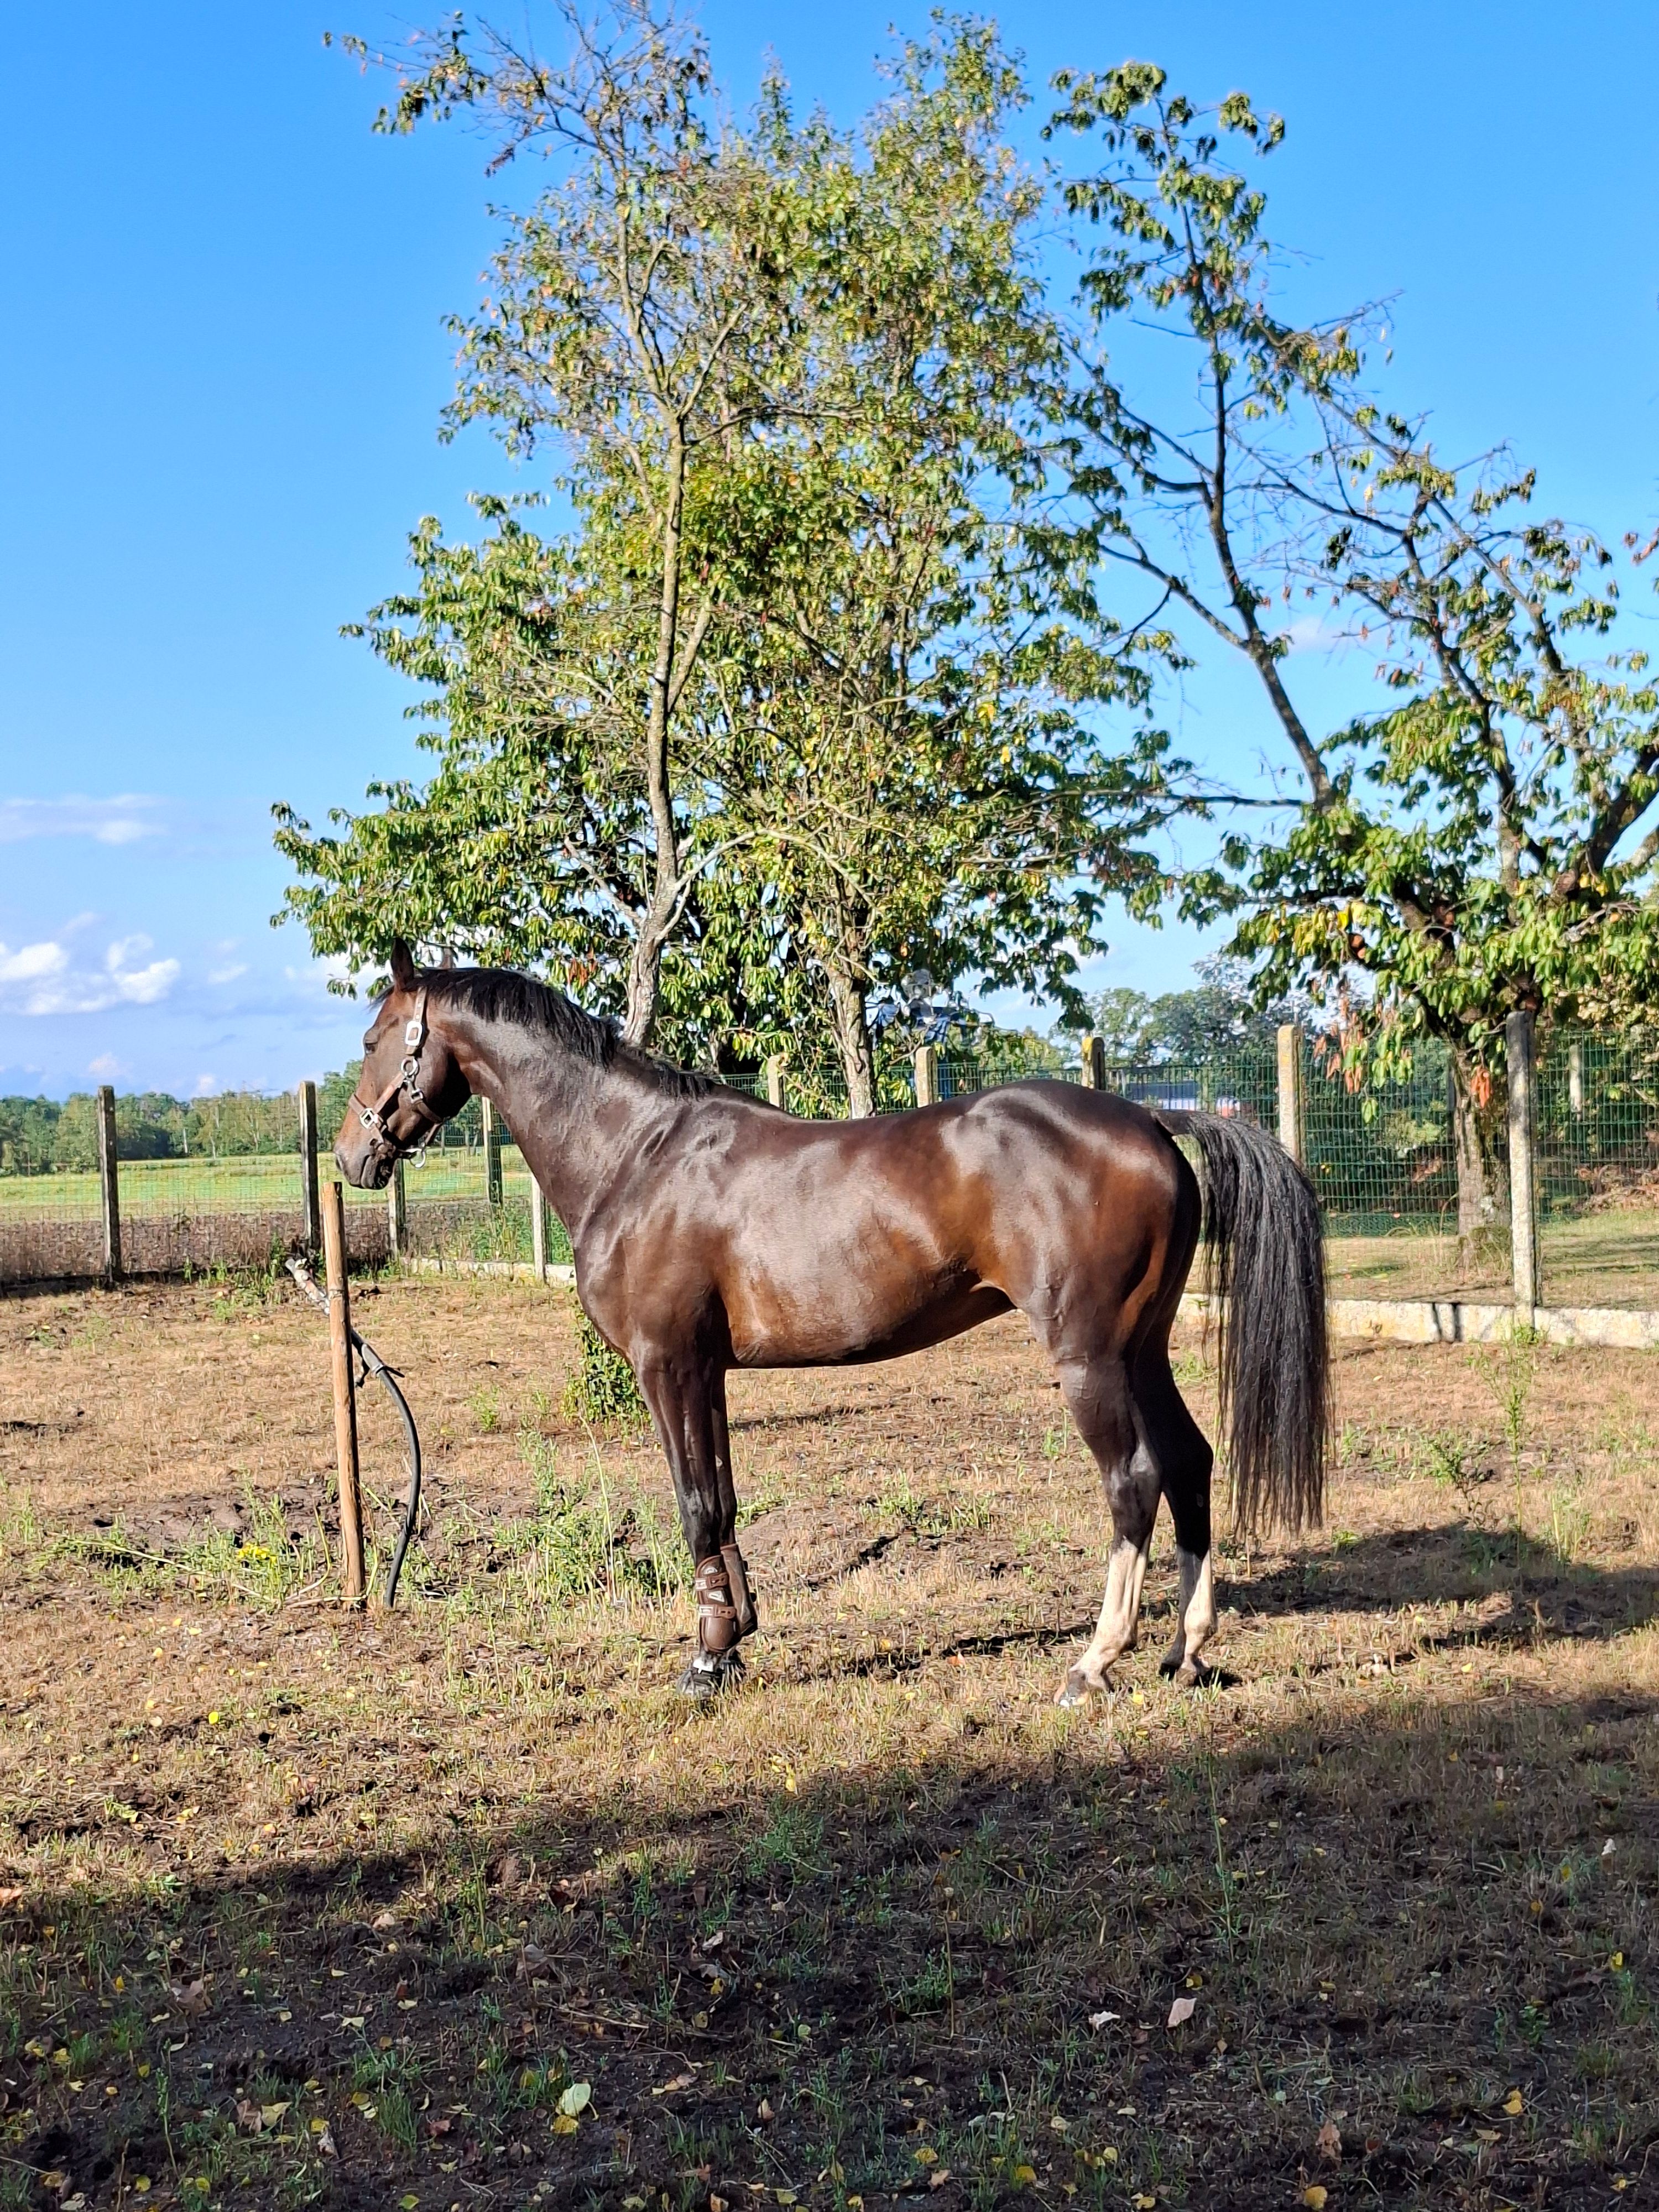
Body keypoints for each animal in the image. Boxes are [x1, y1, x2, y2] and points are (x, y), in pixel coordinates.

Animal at [334, 943, 1328, 1701]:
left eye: (375, 1038)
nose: (350, 1158)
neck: (636, 1152)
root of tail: (1154, 1120)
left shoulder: (667, 1365)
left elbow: (695, 1505)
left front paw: (707, 1662)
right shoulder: (706, 1371)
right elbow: (722, 1500)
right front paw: (734, 1638)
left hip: (1090, 1358)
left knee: (1134, 1482)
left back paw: (1095, 1661)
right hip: (1143, 1349)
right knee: (1192, 1463)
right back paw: (1186, 1652)